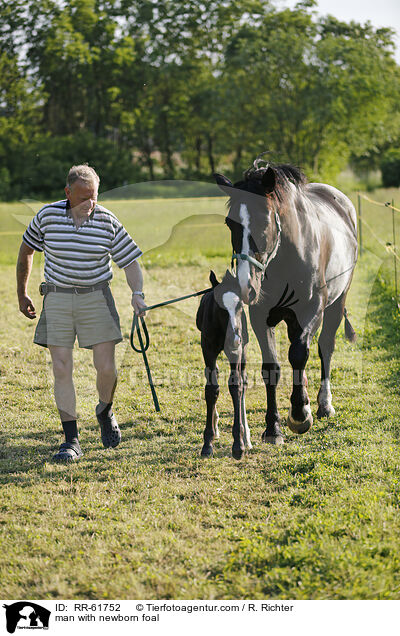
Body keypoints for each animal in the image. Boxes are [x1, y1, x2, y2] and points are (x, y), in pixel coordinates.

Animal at [196, 270, 250, 460]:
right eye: (220, 308)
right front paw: (207, 443)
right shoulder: (208, 350)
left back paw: (247, 437)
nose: (234, 339)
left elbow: (236, 386)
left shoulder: (237, 352)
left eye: (240, 305)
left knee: (244, 381)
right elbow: (212, 389)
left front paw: (239, 445)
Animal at [214, 161, 358, 444]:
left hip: (337, 303)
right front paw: (274, 427)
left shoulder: (313, 310)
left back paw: (323, 404)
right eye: (229, 223)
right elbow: (272, 367)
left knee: (324, 347)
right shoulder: (260, 316)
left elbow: (300, 353)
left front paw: (300, 416)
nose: (246, 285)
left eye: (264, 221)